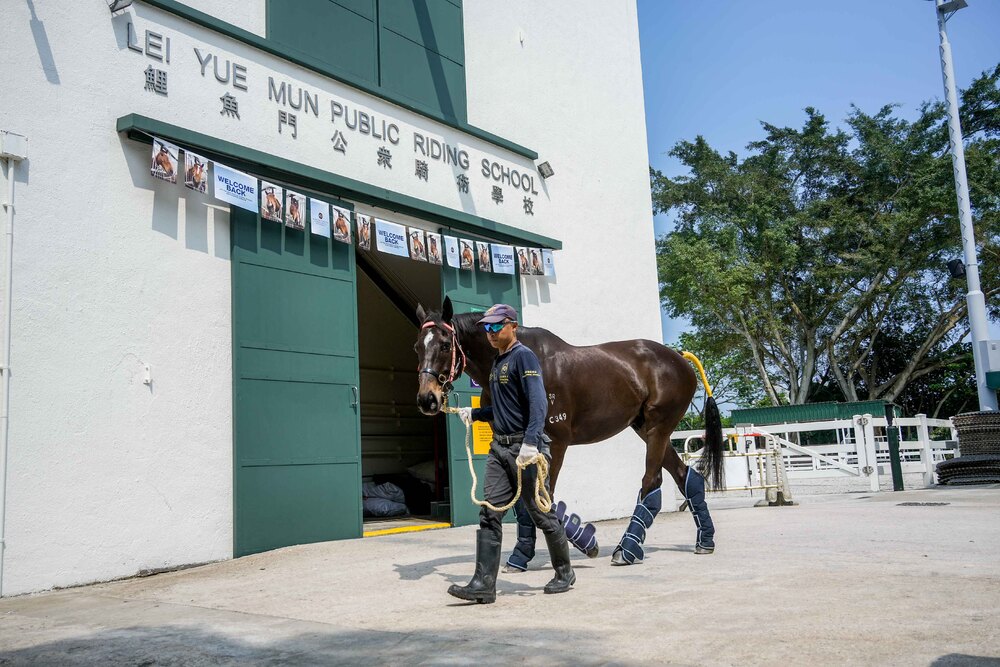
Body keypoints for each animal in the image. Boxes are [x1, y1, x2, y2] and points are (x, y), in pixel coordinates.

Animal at [413, 297, 724, 568]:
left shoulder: (555, 443)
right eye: (418, 346)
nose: (427, 399)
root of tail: (678, 358)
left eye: (445, 345)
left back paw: (626, 549)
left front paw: (584, 543)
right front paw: (522, 555)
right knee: (685, 476)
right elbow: (526, 501)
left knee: (652, 481)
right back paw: (704, 540)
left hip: (659, 427)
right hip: (645, 428)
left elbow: (543, 496)